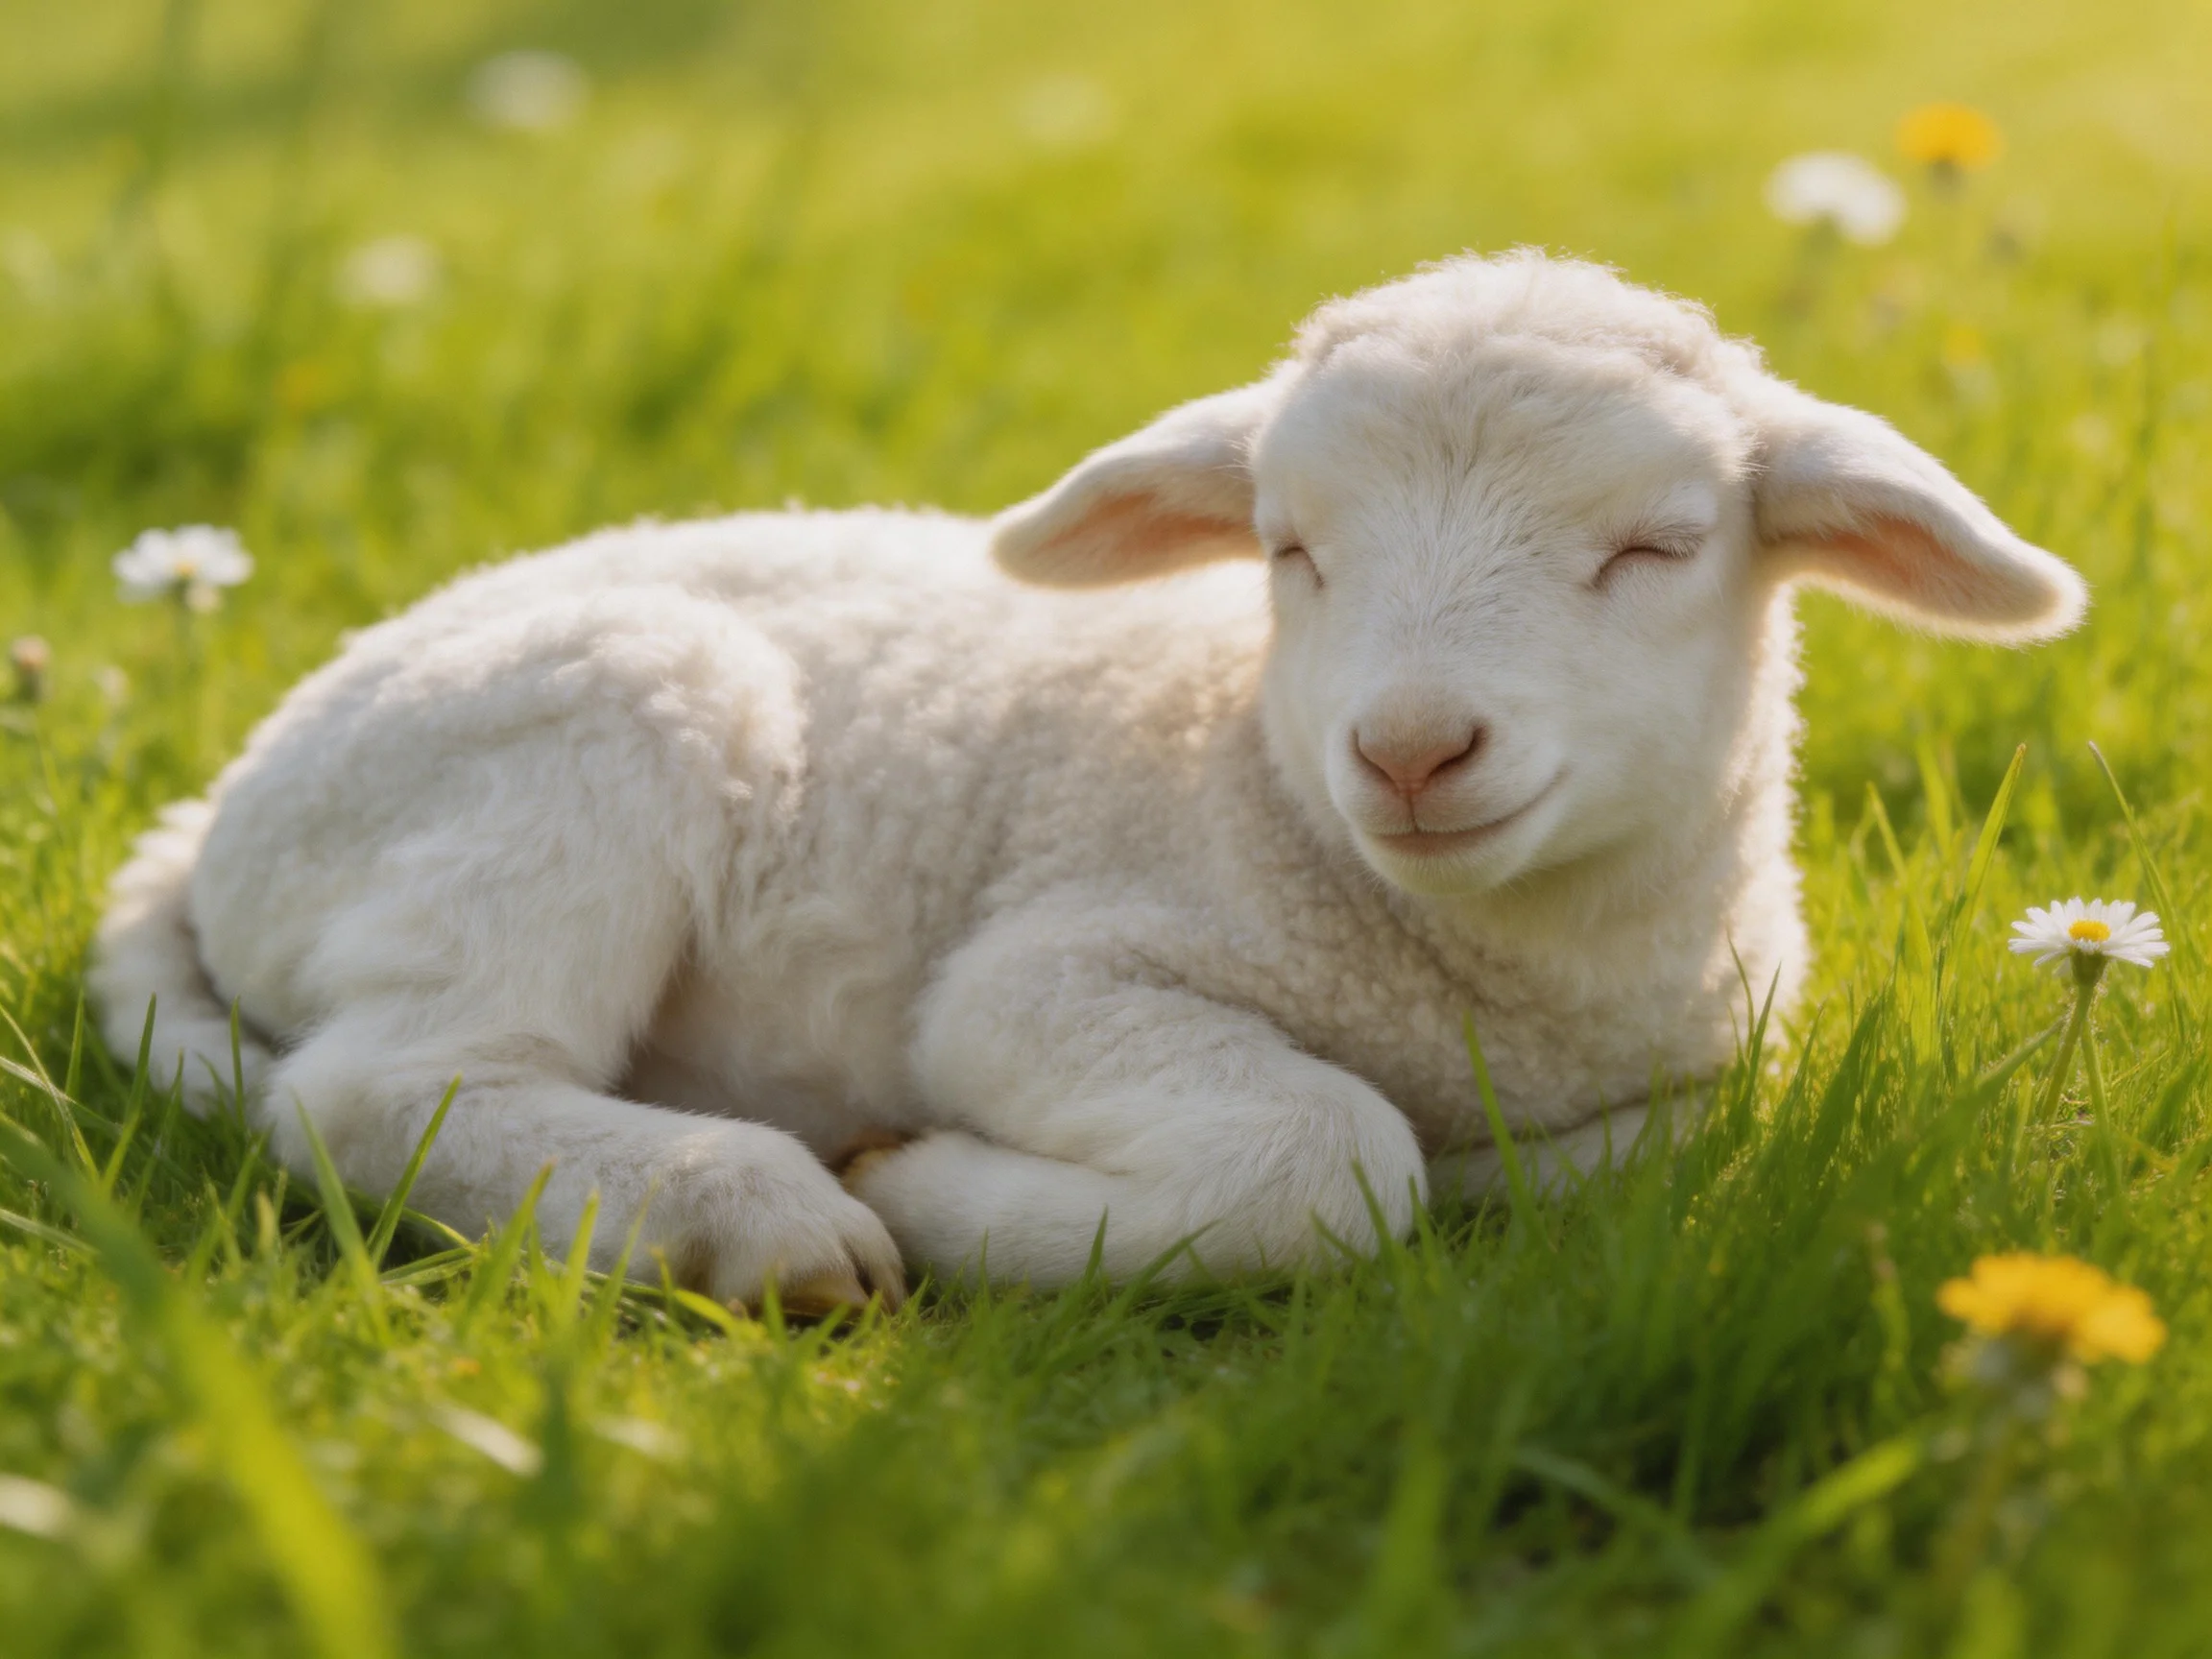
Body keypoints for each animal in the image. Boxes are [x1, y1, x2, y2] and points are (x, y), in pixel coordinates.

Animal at [92, 251, 2085, 1310]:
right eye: (1287, 549)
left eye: (1654, 546)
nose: (1407, 746)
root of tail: (216, 814)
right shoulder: (1044, 975)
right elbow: (1327, 1160)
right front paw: (927, 1187)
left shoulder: (1707, 1064)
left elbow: (1615, 1158)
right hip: (569, 751)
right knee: (385, 1084)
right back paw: (759, 1214)